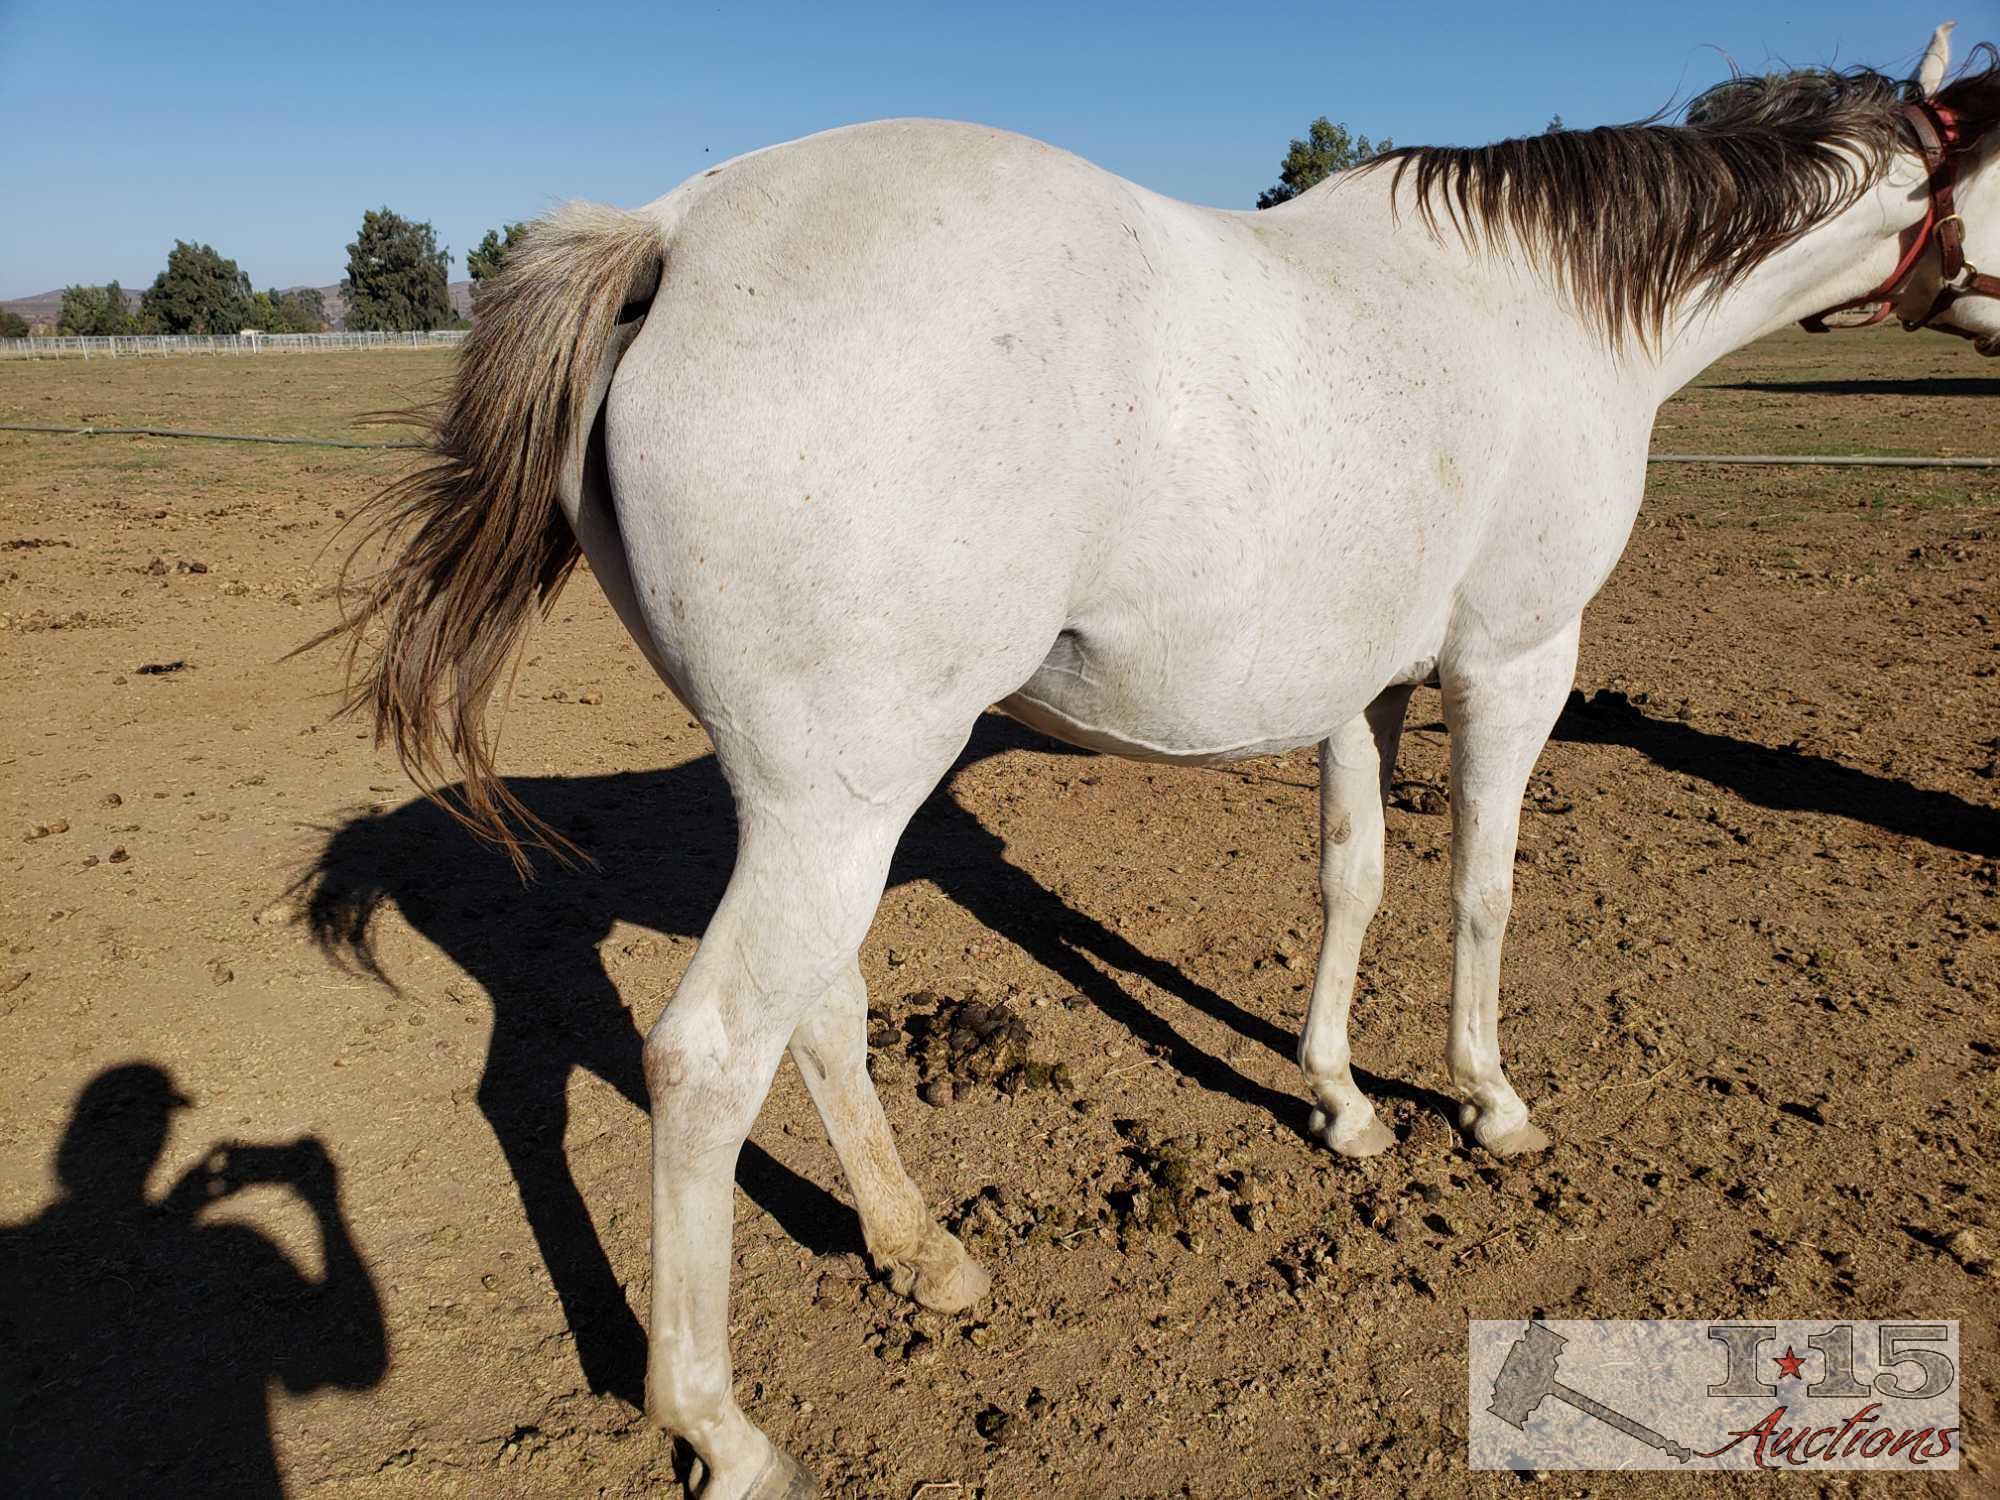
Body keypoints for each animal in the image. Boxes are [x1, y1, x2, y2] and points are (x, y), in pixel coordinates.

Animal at [324, 26, 2000, 1500]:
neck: (1547, 312)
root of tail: (672, 234)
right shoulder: (1517, 664)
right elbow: (1483, 890)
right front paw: (1488, 1102)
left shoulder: (1361, 690)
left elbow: (1352, 882)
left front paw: (1340, 1102)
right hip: (839, 801)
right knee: (709, 1057)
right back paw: (723, 1431)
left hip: (814, 799)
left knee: (820, 1015)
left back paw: (919, 1252)